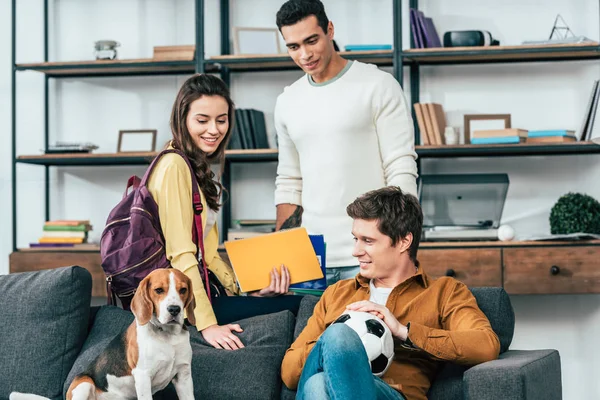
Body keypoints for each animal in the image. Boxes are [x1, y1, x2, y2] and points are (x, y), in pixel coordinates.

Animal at [10, 268, 196, 400]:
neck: (168, 337)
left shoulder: (184, 377)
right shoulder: (143, 376)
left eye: (183, 290)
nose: (174, 310)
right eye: (158, 290)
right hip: (84, 384)